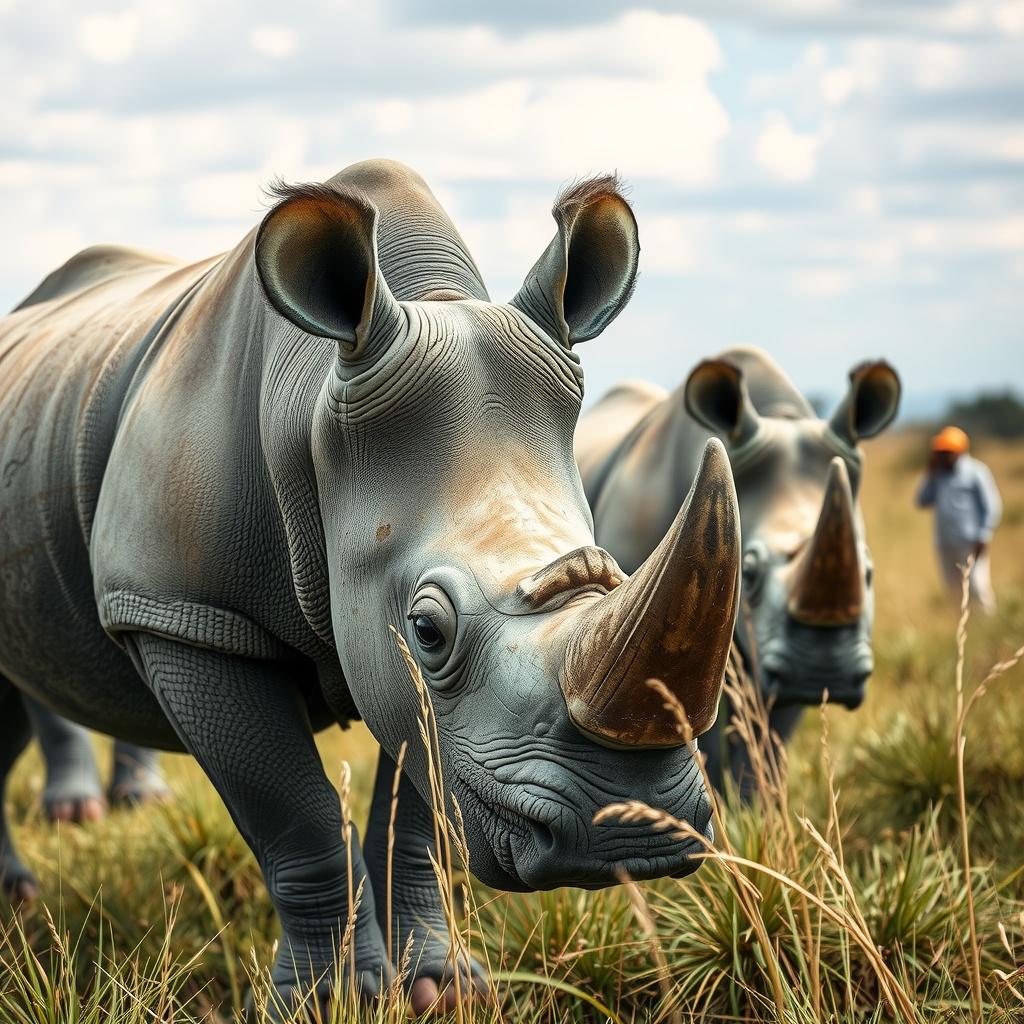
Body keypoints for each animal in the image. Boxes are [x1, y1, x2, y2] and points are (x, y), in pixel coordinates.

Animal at [0, 160, 742, 1012]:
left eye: (616, 574)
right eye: (430, 630)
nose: (631, 832)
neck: (314, 406)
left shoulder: (422, 697)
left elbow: (419, 810)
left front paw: (439, 991)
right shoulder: (181, 613)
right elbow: (299, 818)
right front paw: (325, 1004)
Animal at [575, 347, 900, 797]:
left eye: (868, 571)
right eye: (749, 570)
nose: (822, 670)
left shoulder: (776, 663)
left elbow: (770, 739)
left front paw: (759, 808)